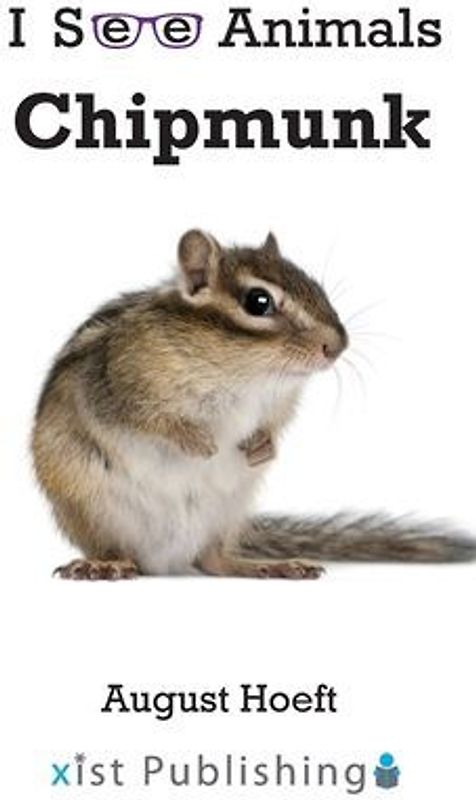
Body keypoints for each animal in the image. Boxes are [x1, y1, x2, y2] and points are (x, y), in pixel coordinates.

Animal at [32, 229, 475, 579]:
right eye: (258, 302)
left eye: (316, 288)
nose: (338, 345)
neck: (246, 375)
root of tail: (164, 560)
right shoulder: (115, 383)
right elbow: (146, 419)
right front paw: (198, 442)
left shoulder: (278, 404)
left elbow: (271, 425)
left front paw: (263, 445)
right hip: (92, 508)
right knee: (118, 550)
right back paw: (105, 564)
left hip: (226, 513)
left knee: (214, 561)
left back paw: (269, 566)